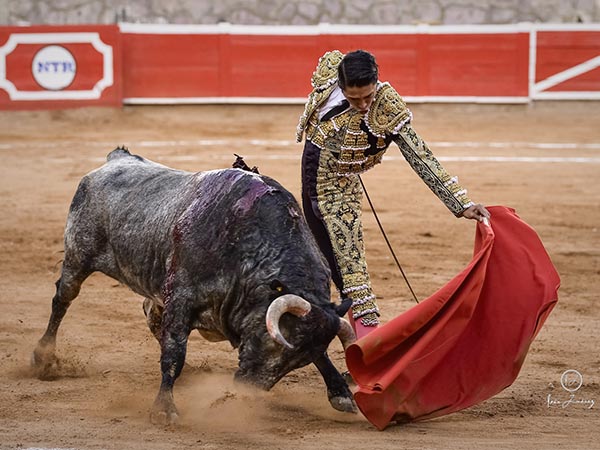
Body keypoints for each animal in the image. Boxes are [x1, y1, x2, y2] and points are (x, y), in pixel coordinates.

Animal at [32, 147, 357, 425]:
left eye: (297, 362)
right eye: (275, 341)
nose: (247, 390)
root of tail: (116, 159)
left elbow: (323, 353)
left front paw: (342, 394)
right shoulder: (182, 297)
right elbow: (175, 352)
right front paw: (164, 410)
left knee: (150, 313)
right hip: (78, 257)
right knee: (62, 299)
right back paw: (43, 359)